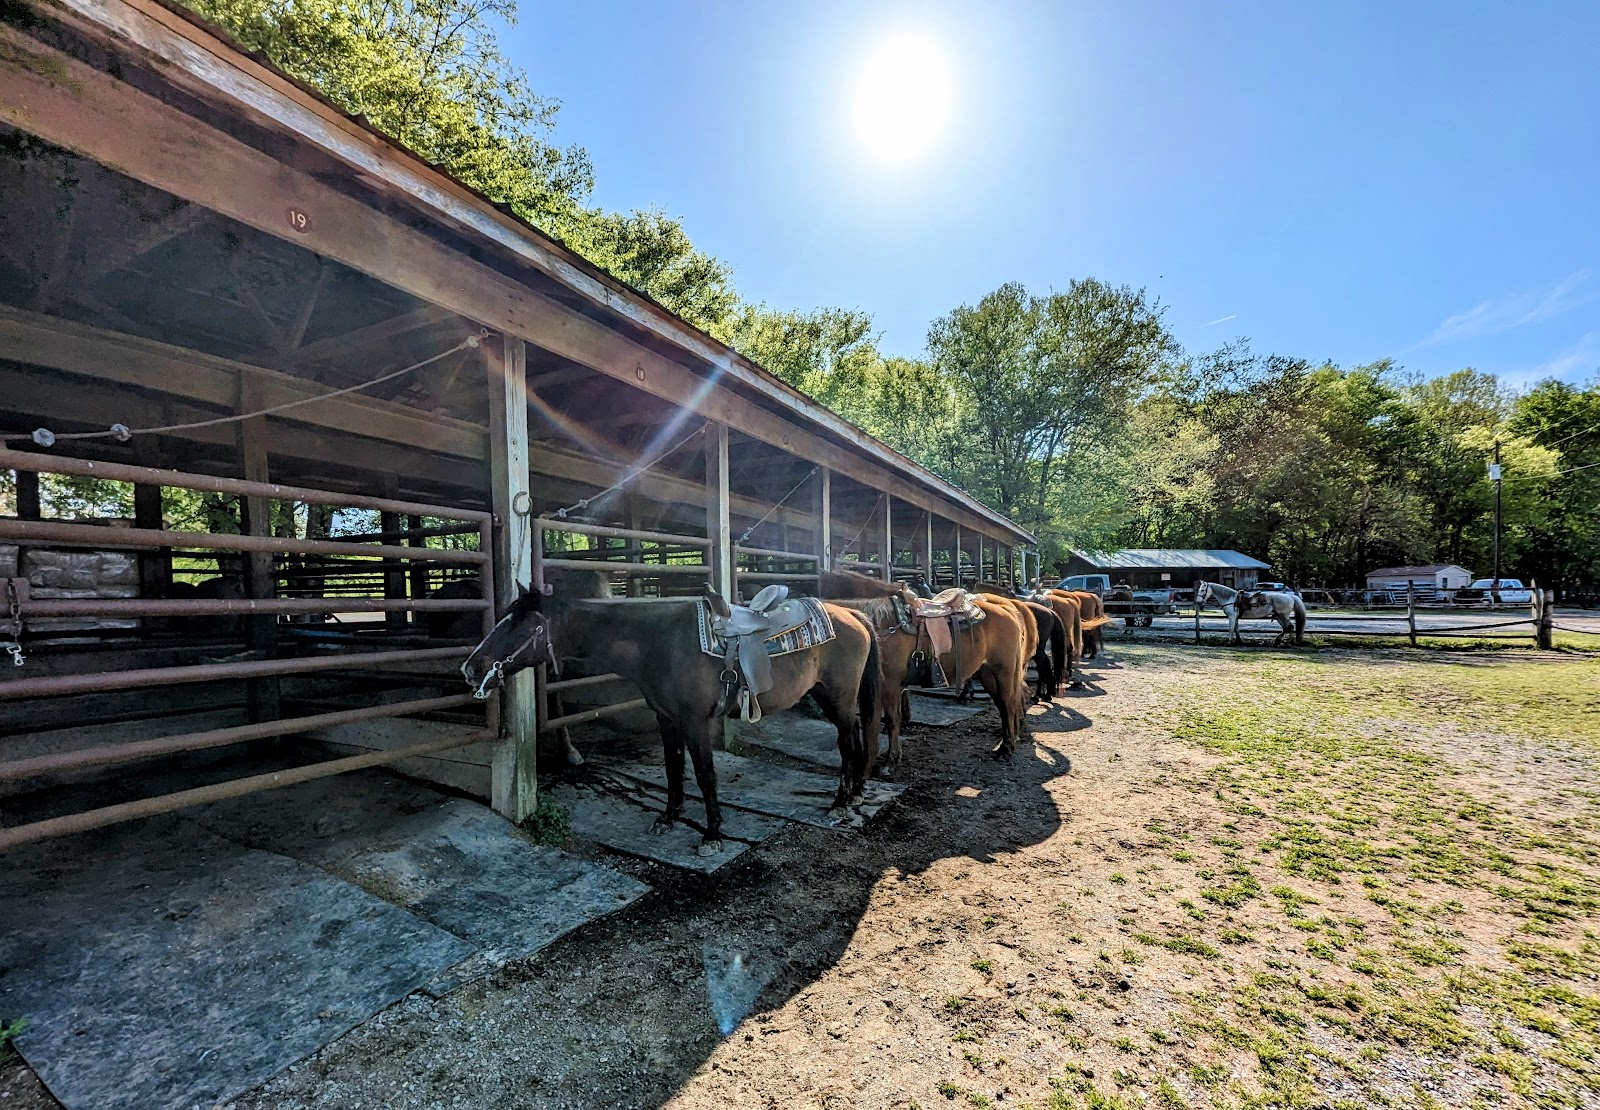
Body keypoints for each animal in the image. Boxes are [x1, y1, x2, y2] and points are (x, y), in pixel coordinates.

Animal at [462, 576, 881, 855]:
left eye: (522, 624)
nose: (471, 667)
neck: (657, 642)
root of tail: (853, 614)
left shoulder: (694, 721)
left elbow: (705, 773)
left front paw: (712, 833)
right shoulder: (666, 718)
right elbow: (673, 767)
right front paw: (669, 817)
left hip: (839, 697)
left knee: (846, 741)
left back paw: (841, 801)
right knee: (855, 737)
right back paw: (856, 793)